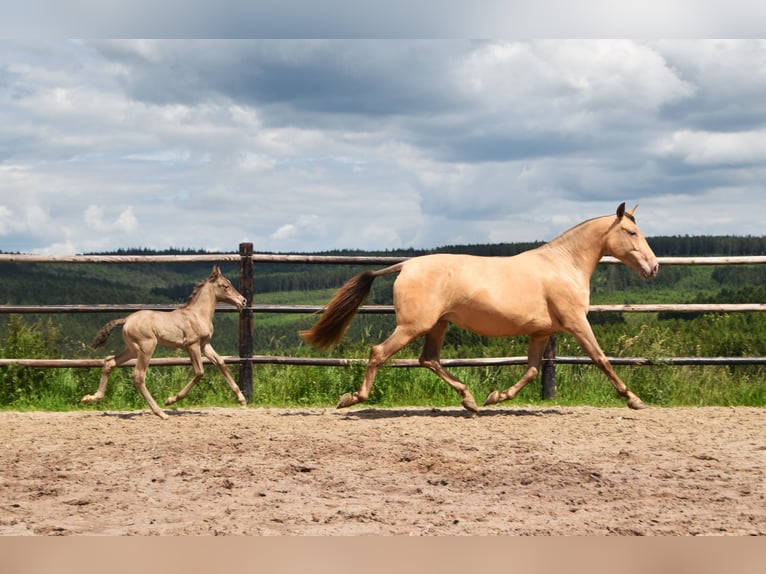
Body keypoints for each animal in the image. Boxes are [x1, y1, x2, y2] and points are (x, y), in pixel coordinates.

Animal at [82, 268, 248, 420]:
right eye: (225, 286)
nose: (243, 301)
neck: (197, 314)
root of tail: (127, 319)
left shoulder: (204, 345)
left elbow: (220, 362)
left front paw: (241, 399)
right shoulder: (192, 345)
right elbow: (199, 372)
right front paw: (171, 400)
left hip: (132, 349)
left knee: (109, 362)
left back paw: (91, 397)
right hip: (147, 347)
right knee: (138, 376)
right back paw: (161, 412)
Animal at [300, 205, 660, 416]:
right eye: (631, 233)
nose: (654, 267)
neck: (564, 266)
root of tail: (405, 266)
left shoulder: (541, 332)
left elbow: (532, 370)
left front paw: (496, 396)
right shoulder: (576, 323)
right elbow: (601, 359)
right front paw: (634, 399)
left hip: (437, 325)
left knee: (429, 359)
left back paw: (470, 401)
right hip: (412, 326)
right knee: (379, 353)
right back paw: (351, 398)